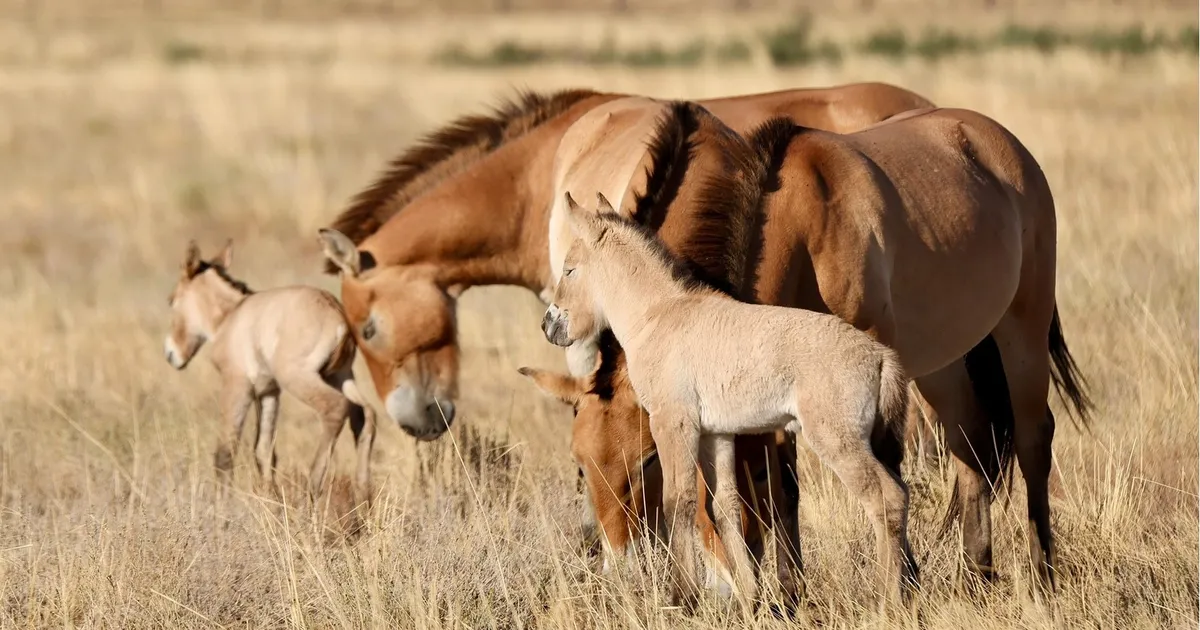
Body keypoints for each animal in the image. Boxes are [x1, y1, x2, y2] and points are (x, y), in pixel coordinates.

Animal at [165, 240, 377, 507]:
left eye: (172, 299)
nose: (171, 353)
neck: (232, 314)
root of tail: (336, 314)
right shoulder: (268, 392)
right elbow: (263, 450)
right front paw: (271, 501)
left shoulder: (237, 387)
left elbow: (225, 452)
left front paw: (221, 510)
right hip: (340, 376)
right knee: (365, 415)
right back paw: (363, 497)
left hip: (301, 379)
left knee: (336, 407)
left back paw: (312, 492)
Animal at [542, 195, 920, 613]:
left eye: (570, 270)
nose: (550, 326)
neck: (658, 316)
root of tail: (881, 357)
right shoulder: (716, 433)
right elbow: (724, 505)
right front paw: (749, 598)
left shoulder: (672, 423)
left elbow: (679, 500)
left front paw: (683, 597)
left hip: (838, 441)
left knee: (886, 499)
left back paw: (887, 602)